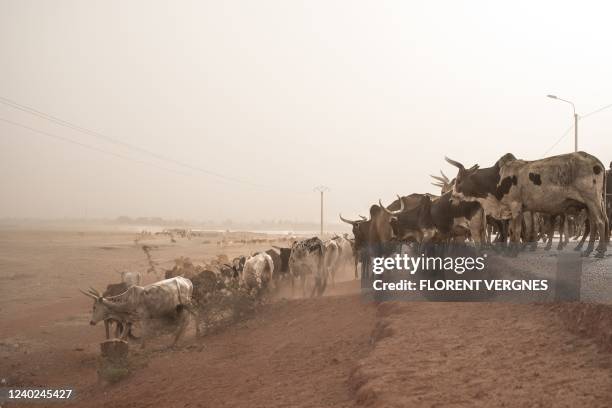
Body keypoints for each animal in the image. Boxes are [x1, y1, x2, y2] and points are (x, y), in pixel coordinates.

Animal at [444, 151, 608, 256]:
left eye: (459, 180)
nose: (451, 198)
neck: (498, 178)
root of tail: (597, 162)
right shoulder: (514, 210)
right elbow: (511, 230)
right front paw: (510, 249)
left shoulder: (516, 206)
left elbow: (516, 230)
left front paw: (513, 252)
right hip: (590, 204)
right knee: (595, 224)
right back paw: (589, 250)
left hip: (592, 200)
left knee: (600, 222)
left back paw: (599, 251)